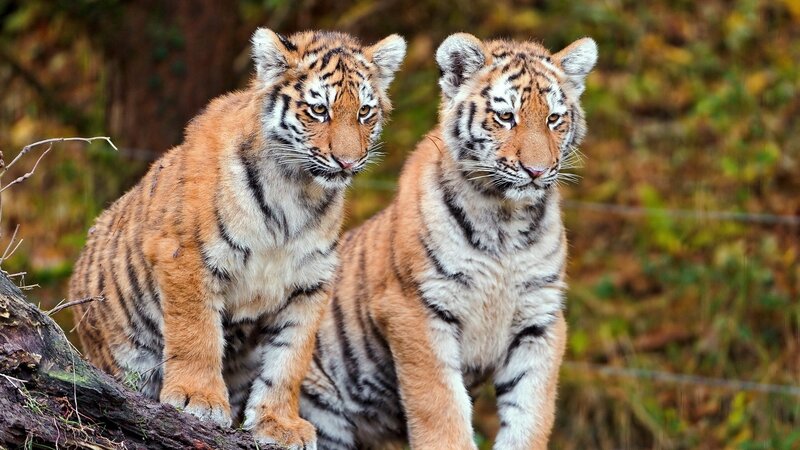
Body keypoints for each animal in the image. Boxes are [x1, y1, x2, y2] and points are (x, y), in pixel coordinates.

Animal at [68, 28, 406, 448]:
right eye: (318, 111)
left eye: (364, 112)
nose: (347, 162)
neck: (297, 191)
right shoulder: (187, 257)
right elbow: (197, 335)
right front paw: (198, 399)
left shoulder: (310, 284)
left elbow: (289, 360)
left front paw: (279, 423)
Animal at [299, 33, 597, 449]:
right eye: (506, 116)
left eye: (554, 118)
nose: (536, 171)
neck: (505, 219)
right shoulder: (416, 309)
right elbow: (441, 408)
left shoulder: (540, 319)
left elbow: (531, 414)